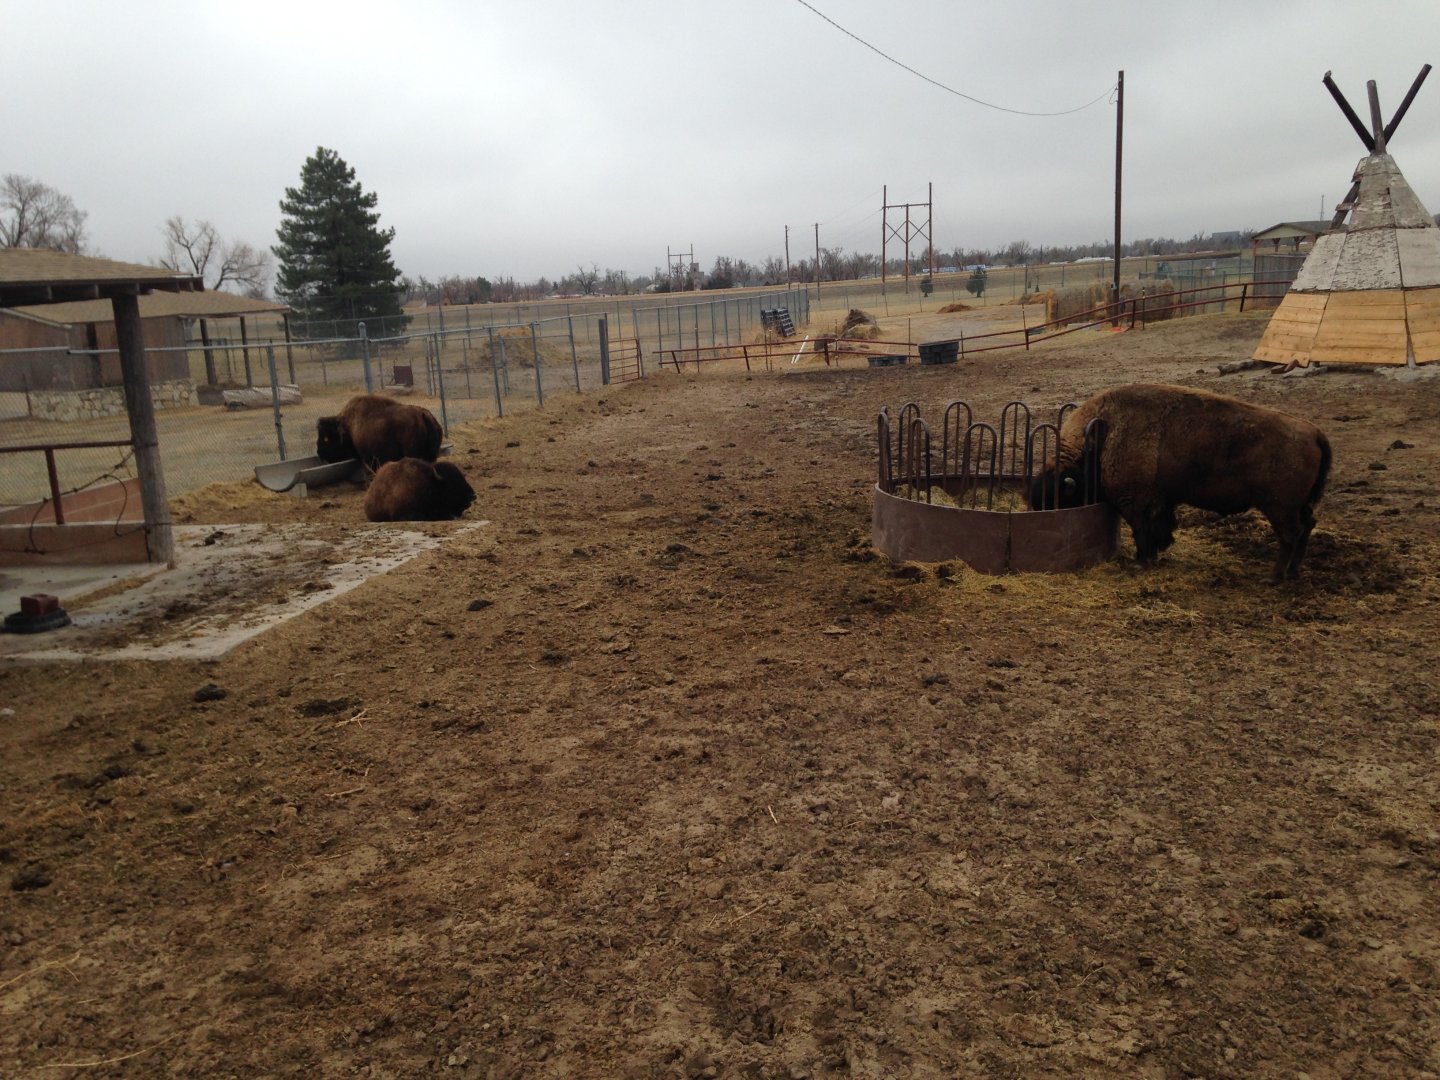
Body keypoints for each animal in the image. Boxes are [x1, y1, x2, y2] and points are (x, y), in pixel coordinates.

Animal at [1029, 383, 1331, 581]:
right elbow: (1159, 527)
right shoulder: (1160, 502)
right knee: (1306, 527)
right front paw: (1156, 554)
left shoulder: (1135, 502)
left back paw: (1274, 577)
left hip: (1279, 507)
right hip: (1299, 506)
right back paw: (1293, 572)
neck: (1104, 434)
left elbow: (1142, 530)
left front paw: (1141, 562)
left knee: (1290, 534)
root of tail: (1313, 431)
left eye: (1063, 497)